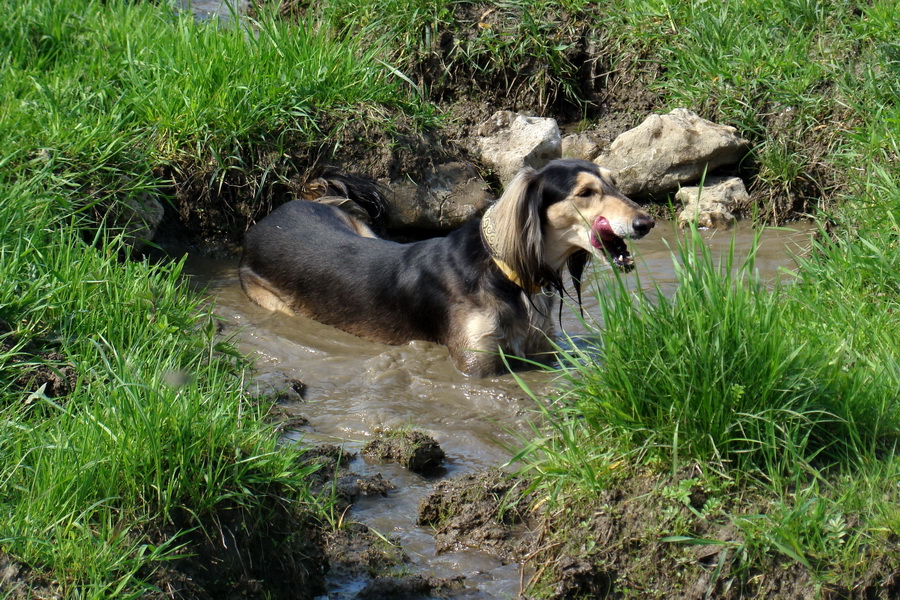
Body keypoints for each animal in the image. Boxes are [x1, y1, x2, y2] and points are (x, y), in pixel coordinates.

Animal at [241, 159, 652, 376]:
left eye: (614, 182)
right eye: (585, 193)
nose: (645, 222)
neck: (504, 272)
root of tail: (275, 214)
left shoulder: (543, 351)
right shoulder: (477, 365)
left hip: (363, 230)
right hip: (270, 299)